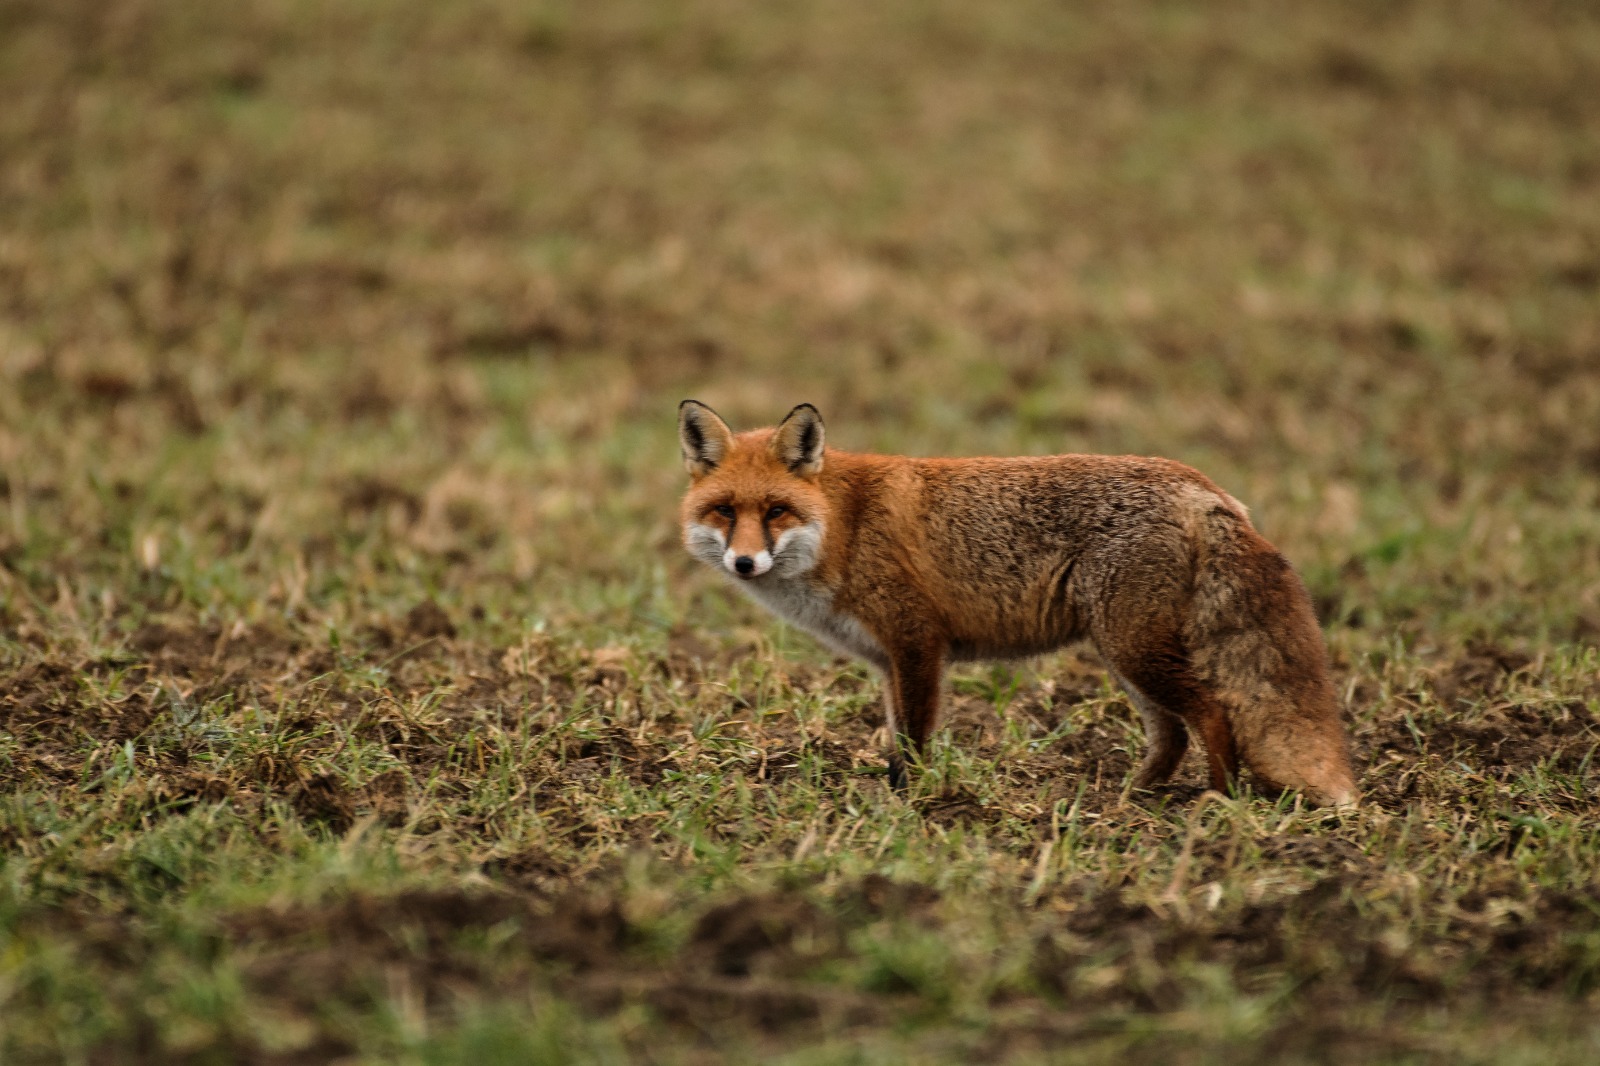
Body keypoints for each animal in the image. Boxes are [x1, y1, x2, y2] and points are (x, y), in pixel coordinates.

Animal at [676, 400, 1358, 806]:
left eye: (776, 512)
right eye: (724, 511)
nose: (744, 562)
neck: (844, 526)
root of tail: (1202, 485)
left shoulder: (918, 643)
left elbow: (914, 742)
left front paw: (911, 806)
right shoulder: (886, 661)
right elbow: (896, 742)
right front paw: (897, 797)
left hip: (1135, 650)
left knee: (1214, 712)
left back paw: (1214, 802)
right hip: (1126, 655)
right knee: (1171, 736)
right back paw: (1126, 802)